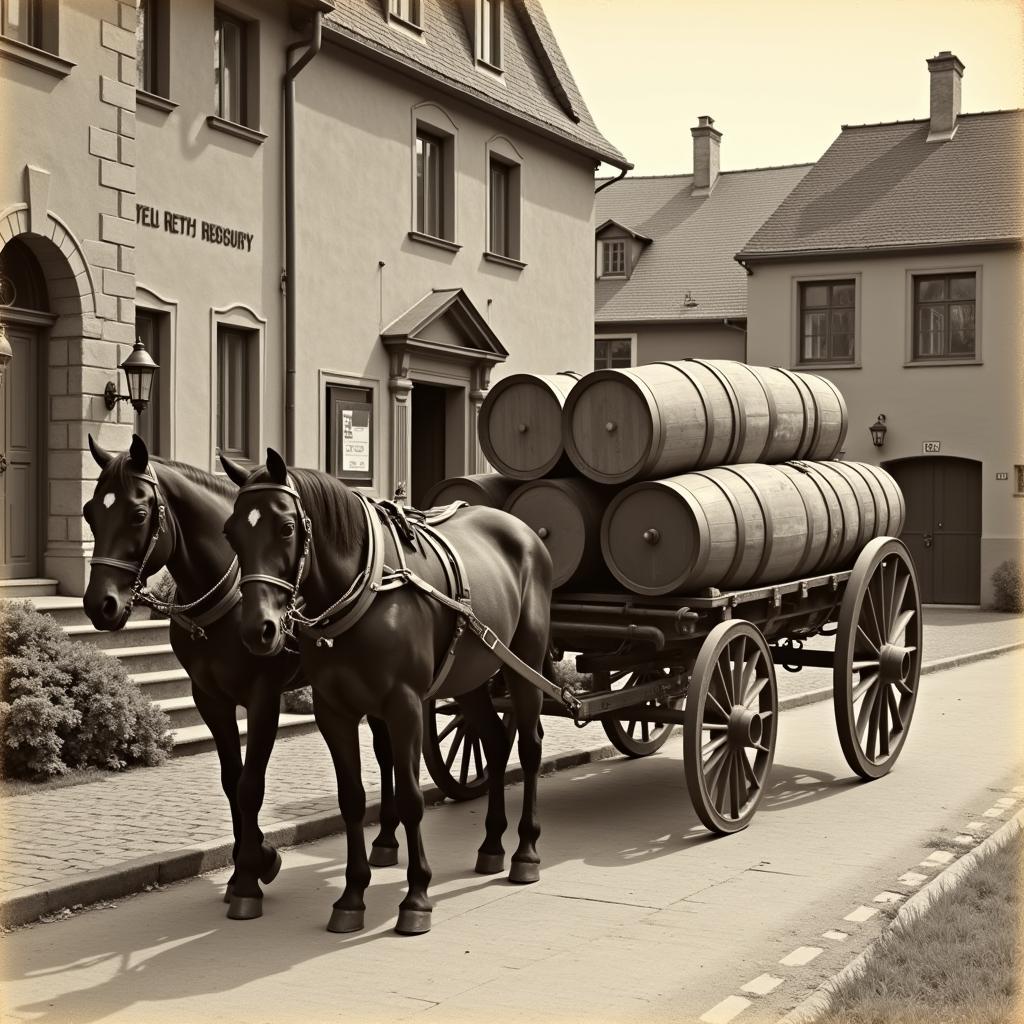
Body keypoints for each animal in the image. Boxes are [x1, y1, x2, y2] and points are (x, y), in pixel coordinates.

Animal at [83, 436, 403, 917]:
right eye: (90, 512)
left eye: (138, 514)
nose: (98, 605)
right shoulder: (209, 697)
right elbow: (231, 782)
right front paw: (243, 867)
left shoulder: (263, 697)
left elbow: (251, 785)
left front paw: (253, 874)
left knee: (386, 753)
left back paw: (385, 838)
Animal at [218, 450, 552, 937]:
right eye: (231, 531)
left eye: (285, 527)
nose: (255, 630)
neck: (366, 591)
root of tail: (524, 531)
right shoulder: (334, 711)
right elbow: (352, 799)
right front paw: (352, 895)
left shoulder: (404, 706)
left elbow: (412, 799)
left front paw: (416, 897)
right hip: (471, 675)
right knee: (492, 740)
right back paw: (491, 844)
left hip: (524, 663)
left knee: (528, 748)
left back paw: (525, 851)